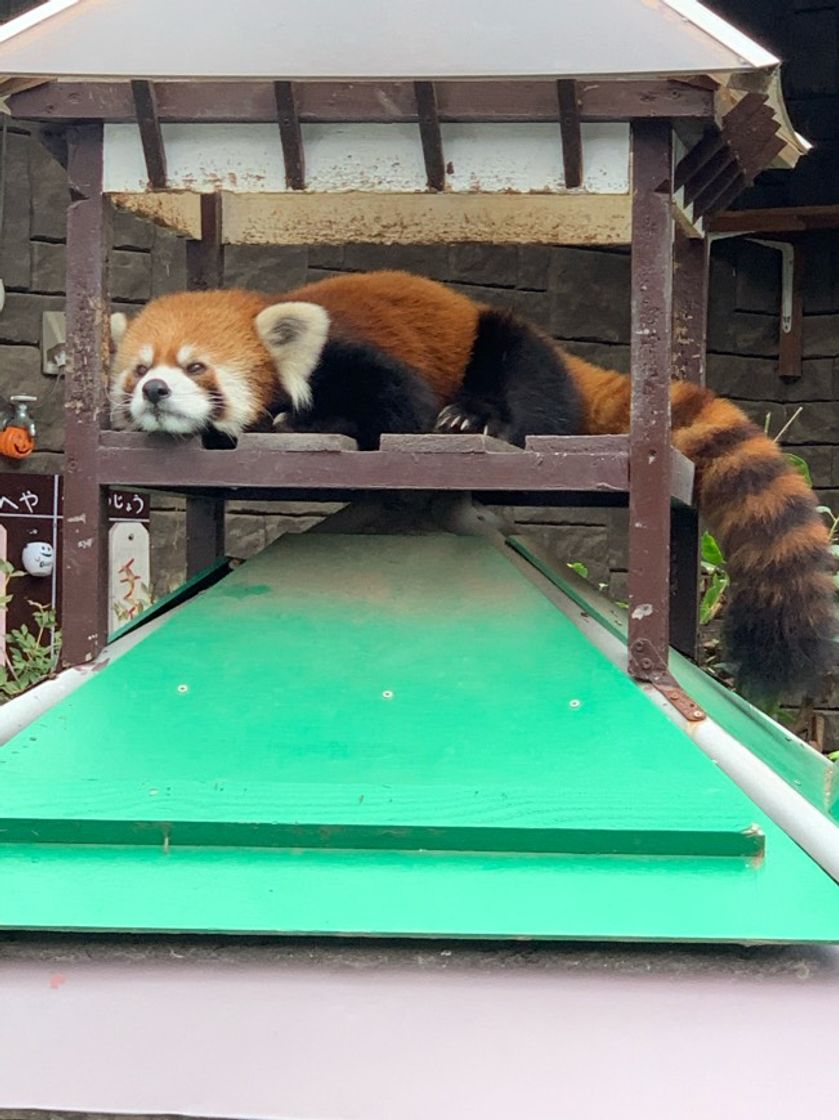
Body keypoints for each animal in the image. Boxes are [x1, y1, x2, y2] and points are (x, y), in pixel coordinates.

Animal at [108, 267, 833, 698]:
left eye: (196, 366)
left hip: (500, 341)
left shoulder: (354, 356)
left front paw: (298, 420)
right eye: (138, 368)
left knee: (521, 370)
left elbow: (393, 407)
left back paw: (477, 413)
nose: (153, 390)